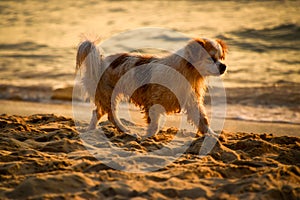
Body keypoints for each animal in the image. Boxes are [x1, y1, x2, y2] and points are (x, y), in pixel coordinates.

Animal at [75, 36, 227, 137]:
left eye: (220, 58)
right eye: (211, 59)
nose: (224, 66)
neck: (187, 72)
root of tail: (100, 61)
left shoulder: (191, 101)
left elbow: (202, 120)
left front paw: (212, 135)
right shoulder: (153, 100)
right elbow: (154, 124)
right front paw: (149, 136)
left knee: (99, 113)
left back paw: (94, 130)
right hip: (108, 94)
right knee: (108, 114)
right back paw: (121, 129)